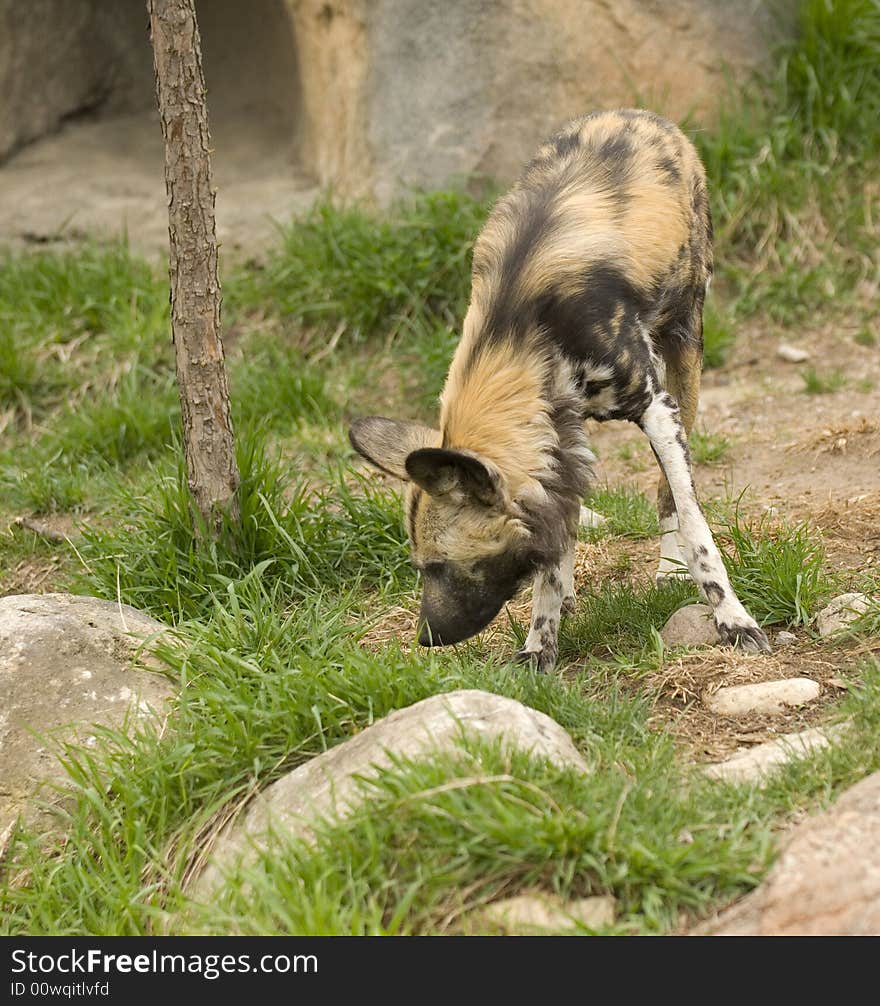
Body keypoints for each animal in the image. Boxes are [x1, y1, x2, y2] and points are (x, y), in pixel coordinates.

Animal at [352, 110, 772, 667]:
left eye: (441, 567)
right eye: (420, 567)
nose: (426, 638)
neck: (518, 327)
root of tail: (639, 115)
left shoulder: (656, 409)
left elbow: (695, 526)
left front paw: (733, 619)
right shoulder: (558, 427)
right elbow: (552, 541)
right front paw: (541, 643)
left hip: (686, 353)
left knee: (668, 495)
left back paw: (671, 570)